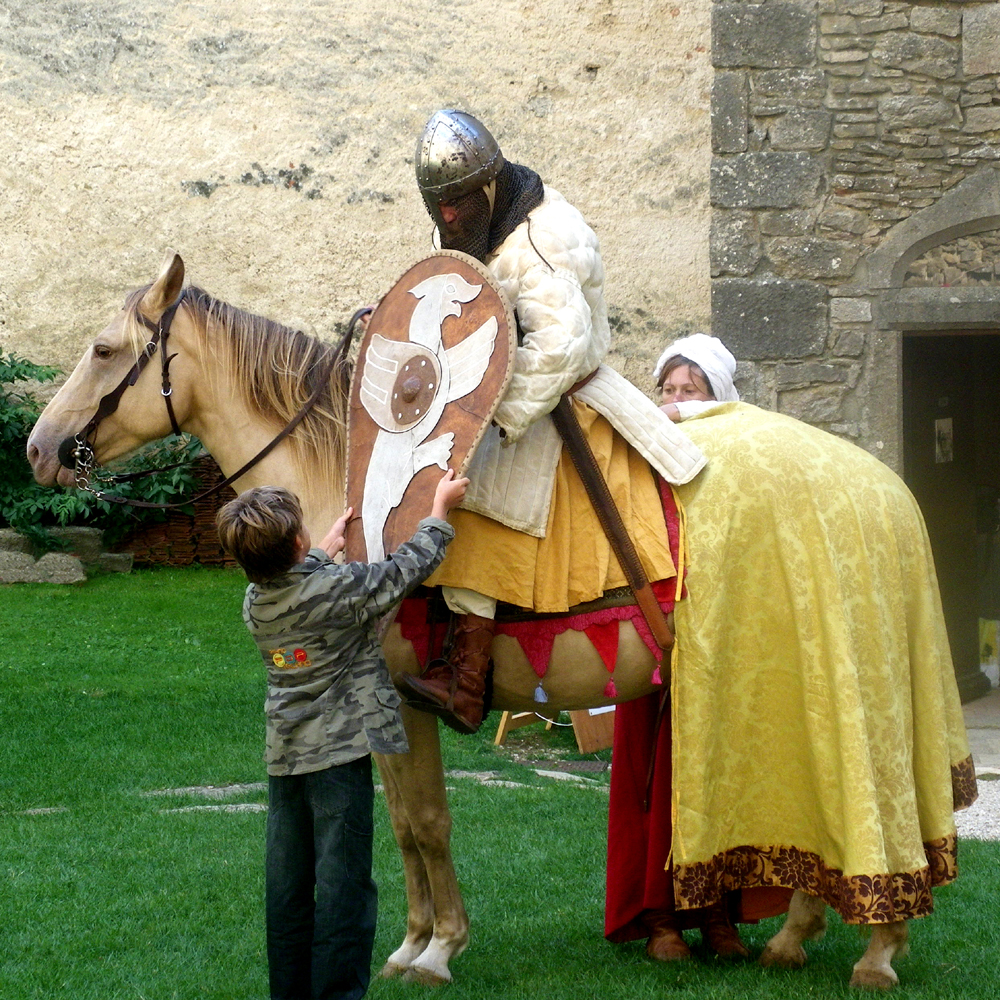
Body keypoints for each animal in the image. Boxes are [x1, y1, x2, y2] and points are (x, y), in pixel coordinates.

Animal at [27, 252, 975, 991]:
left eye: (104, 349)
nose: (37, 449)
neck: (342, 481)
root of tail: (884, 485)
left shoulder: (402, 697)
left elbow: (425, 822)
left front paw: (436, 950)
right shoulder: (383, 702)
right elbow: (409, 824)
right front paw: (414, 943)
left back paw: (876, 953)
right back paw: (791, 937)